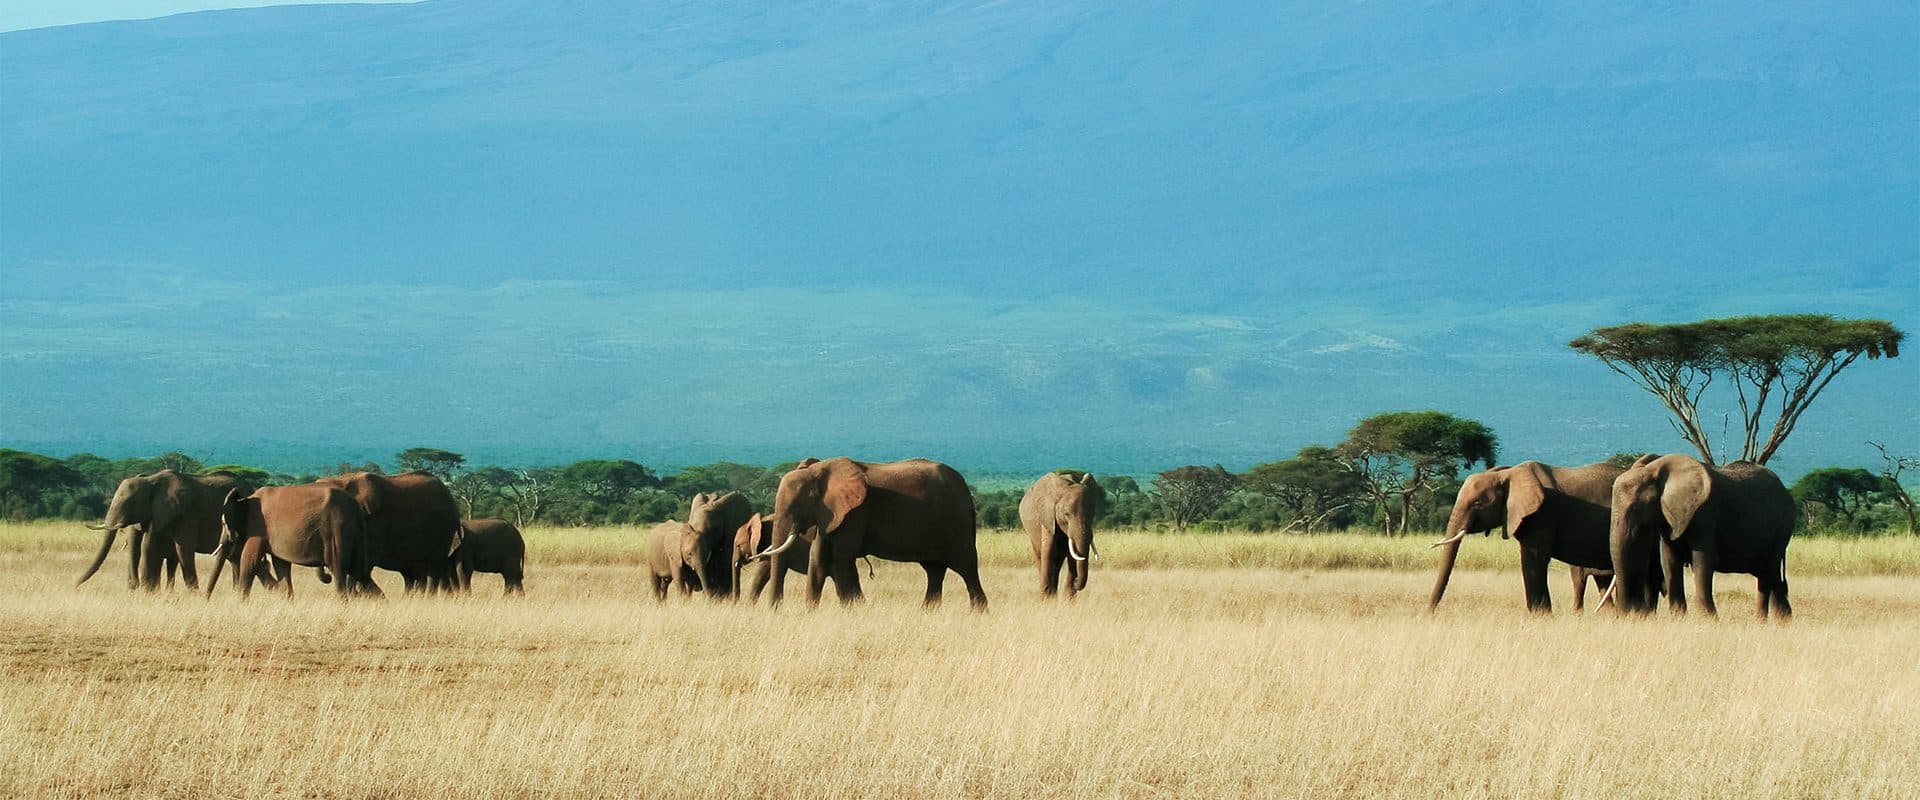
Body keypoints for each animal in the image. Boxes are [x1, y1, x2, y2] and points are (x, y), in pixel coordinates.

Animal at [77, 469, 259, 591]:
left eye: (131, 503)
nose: (75, 585)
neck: (151, 480)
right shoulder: (158, 517)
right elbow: (150, 548)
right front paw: (150, 592)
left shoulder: (186, 514)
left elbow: (180, 549)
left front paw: (192, 594)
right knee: (235, 559)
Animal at [205, 485, 376, 599]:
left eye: (223, 524)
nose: (206, 600)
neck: (244, 500)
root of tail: (357, 509)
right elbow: (281, 565)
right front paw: (287, 600)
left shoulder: (257, 526)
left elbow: (249, 559)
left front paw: (241, 602)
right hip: (355, 534)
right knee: (361, 573)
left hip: (336, 531)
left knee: (339, 570)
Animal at [313, 471, 460, 593]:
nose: (327, 577)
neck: (342, 479)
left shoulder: (374, 522)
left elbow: (362, 565)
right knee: (411, 573)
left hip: (444, 529)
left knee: (434, 566)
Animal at [749, 457, 985, 610]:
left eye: (796, 506)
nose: (776, 610)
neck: (819, 470)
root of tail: (965, 485)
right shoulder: (830, 515)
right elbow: (817, 560)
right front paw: (812, 611)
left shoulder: (855, 513)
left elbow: (841, 559)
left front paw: (854, 609)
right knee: (934, 571)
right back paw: (927, 612)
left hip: (958, 523)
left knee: (966, 568)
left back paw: (979, 611)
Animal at [1608, 454, 1795, 619]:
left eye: (1635, 509)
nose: (1626, 614)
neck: (1654, 470)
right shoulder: (1670, 519)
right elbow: (1669, 561)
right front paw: (1679, 618)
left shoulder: (1703, 515)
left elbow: (1702, 561)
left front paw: (1709, 620)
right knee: (1771, 576)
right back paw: (1782, 621)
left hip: (1782, 527)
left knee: (1768, 572)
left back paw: (1764, 620)